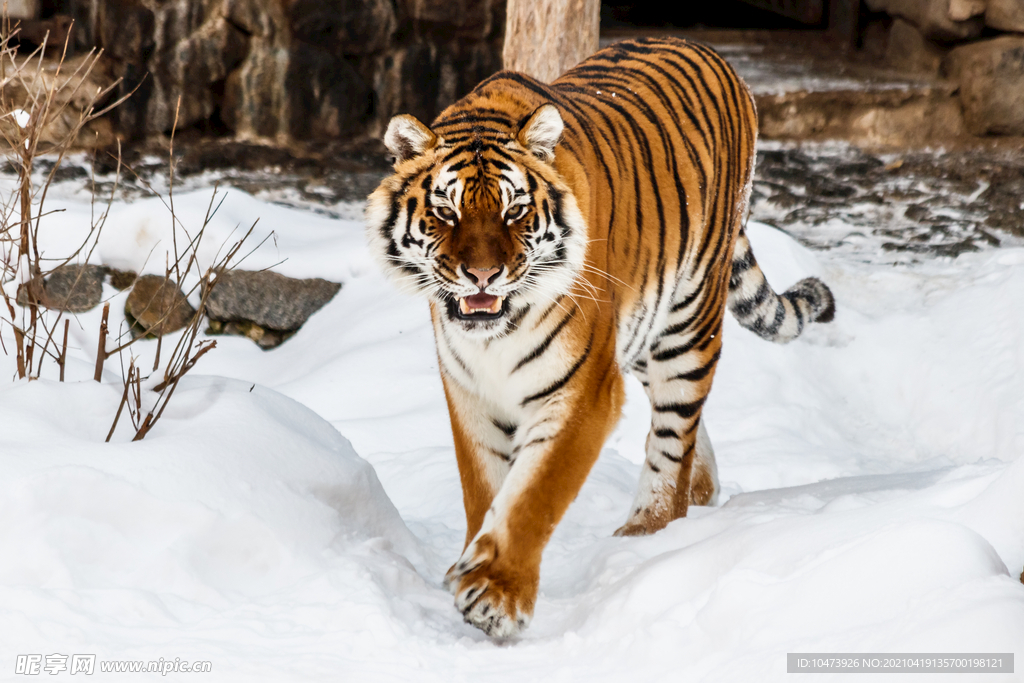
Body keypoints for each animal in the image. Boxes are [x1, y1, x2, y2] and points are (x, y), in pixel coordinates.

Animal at [364, 34, 835, 638]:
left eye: (514, 211)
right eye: (445, 212)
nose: (483, 275)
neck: (493, 335)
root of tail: (707, 48)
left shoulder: (583, 390)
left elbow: (534, 495)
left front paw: (496, 594)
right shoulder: (469, 389)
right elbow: (485, 487)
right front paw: (470, 564)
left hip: (687, 322)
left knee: (673, 436)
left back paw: (647, 532)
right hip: (640, 333)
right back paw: (701, 494)